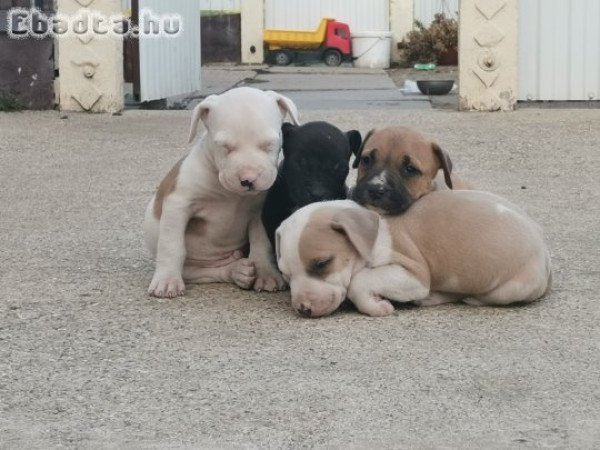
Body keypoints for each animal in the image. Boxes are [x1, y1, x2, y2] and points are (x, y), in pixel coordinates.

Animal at [145, 88, 300, 298]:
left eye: (268, 144)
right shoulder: (178, 204)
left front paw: (266, 273)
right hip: (192, 269)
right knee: (206, 271)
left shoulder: (259, 211)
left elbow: (261, 243)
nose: (248, 179)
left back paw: (239, 271)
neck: (229, 194)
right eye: (225, 147)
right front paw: (167, 280)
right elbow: (172, 244)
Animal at [274, 192, 552, 316]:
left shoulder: (412, 274)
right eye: (286, 276)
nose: (303, 309)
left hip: (508, 289)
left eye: (322, 263)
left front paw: (378, 307)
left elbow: (359, 281)